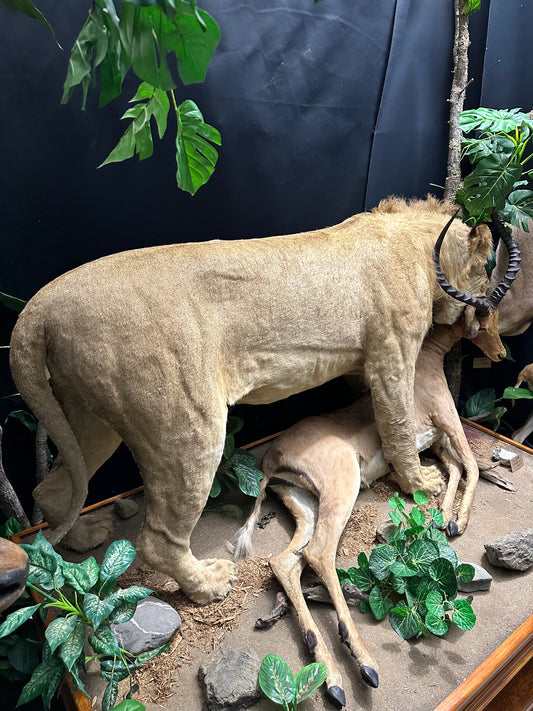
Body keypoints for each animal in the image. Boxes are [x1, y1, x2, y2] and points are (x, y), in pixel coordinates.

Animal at [10, 196, 496, 608]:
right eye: (487, 275)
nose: (487, 315)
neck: (420, 248)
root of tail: (38, 308)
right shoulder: (391, 356)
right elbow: (397, 425)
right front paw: (420, 482)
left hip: (90, 416)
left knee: (51, 488)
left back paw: (86, 533)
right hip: (188, 424)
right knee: (157, 540)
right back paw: (210, 583)